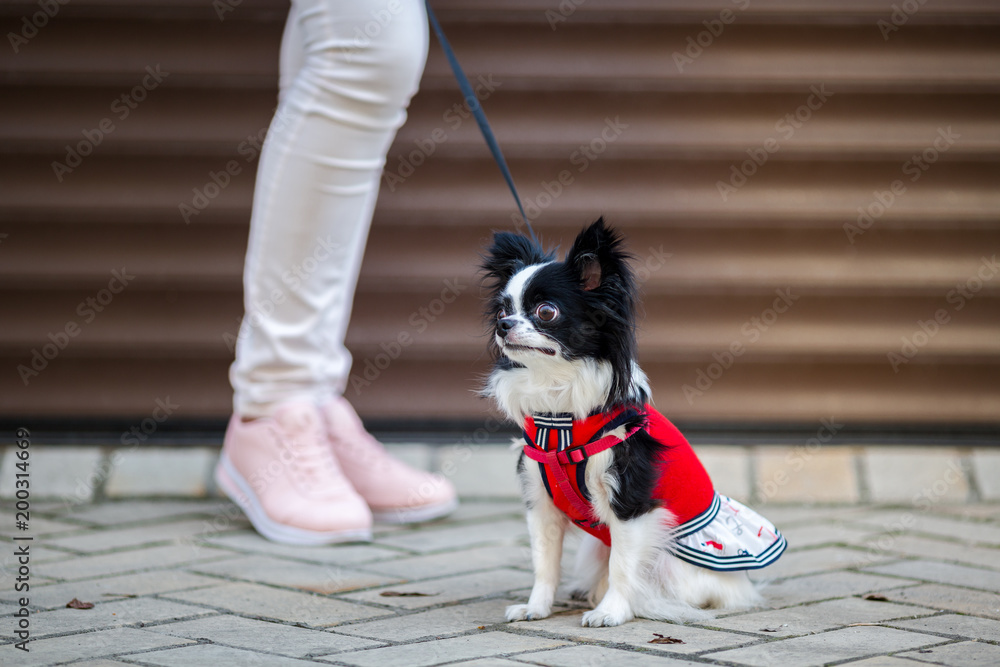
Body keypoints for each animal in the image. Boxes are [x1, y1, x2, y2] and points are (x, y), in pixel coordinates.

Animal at [480, 218, 784, 628]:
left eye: (546, 312)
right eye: (502, 311)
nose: (504, 326)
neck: (560, 413)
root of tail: (742, 587)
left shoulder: (630, 503)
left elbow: (623, 566)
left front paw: (611, 612)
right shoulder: (541, 504)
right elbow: (544, 563)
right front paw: (536, 607)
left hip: (676, 564)